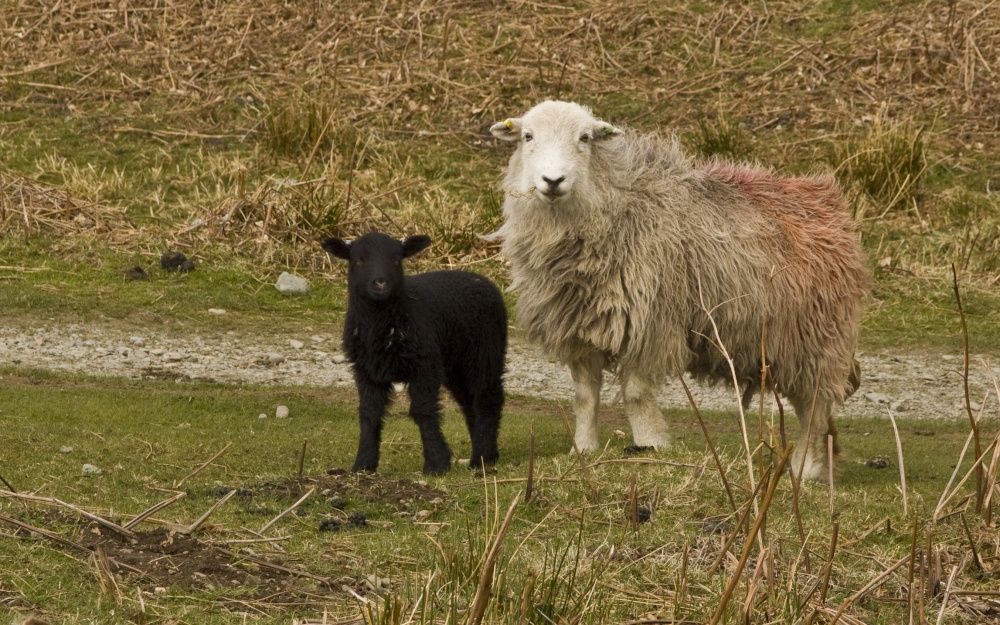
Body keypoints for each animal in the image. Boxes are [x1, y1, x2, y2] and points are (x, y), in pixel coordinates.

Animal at [322, 233, 508, 472]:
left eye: (396, 260)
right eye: (358, 261)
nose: (380, 282)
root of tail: (481, 279)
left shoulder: (424, 365)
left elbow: (423, 410)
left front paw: (436, 463)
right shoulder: (366, 370)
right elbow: (369, 413)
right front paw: (364, 464)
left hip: (485, 352)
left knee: (487, 399)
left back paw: (482, 458)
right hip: (455, 366)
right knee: (469, 404)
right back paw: (485, 453)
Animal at [490, 101, 868, 482]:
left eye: (584, 138)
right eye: (527, 136)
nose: (553, 181)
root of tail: (827, 198)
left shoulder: (649, 325)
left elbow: (636, 394)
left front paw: (650, 445)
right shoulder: (579, 329)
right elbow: (584, 397)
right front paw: (582, 450)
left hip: (818, 339)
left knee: (814, 407)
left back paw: (805, 469)